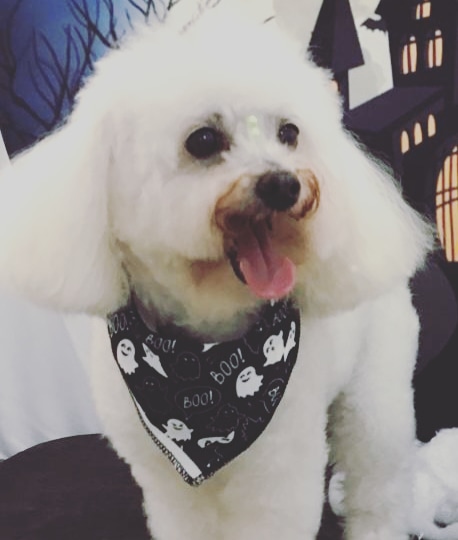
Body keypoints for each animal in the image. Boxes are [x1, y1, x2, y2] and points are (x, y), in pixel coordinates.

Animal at [0, 1, 433, 539]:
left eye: (289, 133)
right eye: (203, 140)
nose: (283, 184)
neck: (202, 355)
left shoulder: (277, 476)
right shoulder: (166, 480)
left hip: (376, 394)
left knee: (378, 481)